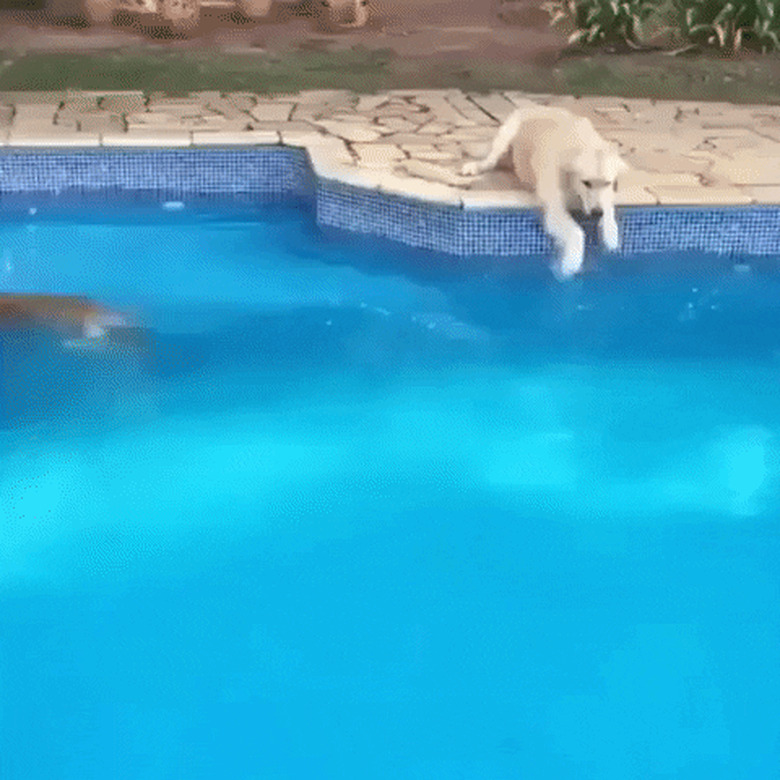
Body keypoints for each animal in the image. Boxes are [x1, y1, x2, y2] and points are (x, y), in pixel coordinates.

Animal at [460, 105, 632, 278]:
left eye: (608, 183)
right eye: (586, 183)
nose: (597, 213)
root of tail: (536, 106)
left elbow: (609, 209)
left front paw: (611, 234)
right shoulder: (554, 209)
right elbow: (577, 232)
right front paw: (571, 263)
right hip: (505, 138)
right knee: (489, 161)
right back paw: (474, 167)